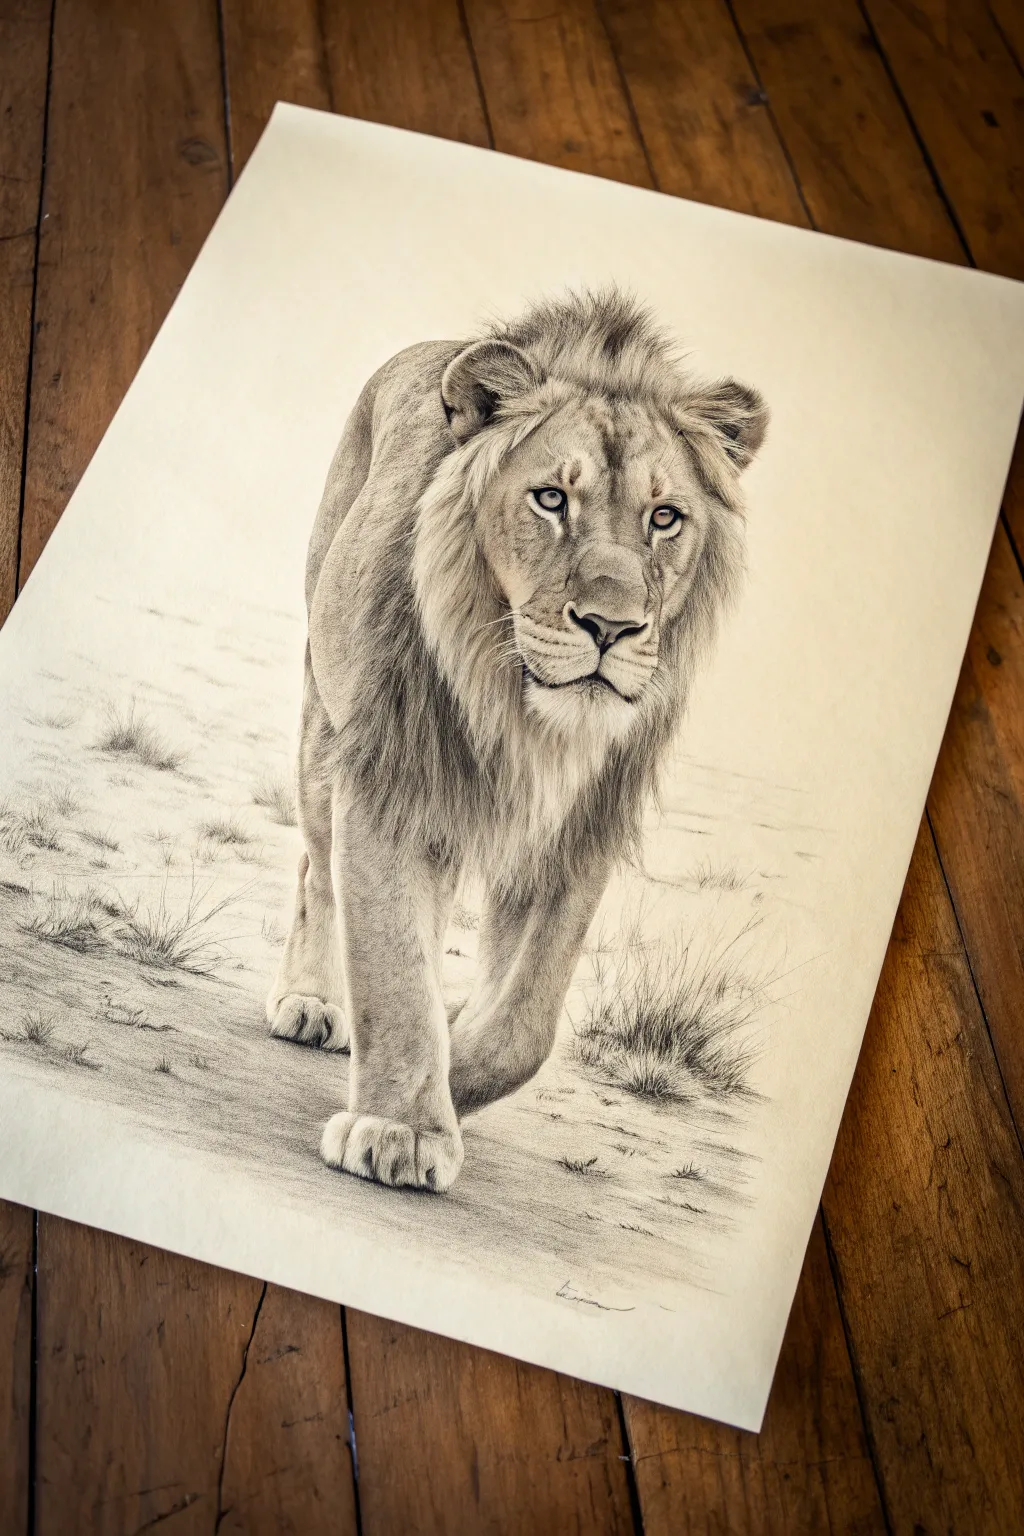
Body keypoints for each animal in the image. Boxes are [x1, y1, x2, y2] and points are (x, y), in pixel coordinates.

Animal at [266, 288, 768, 1192]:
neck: (528, 720)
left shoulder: (578, 829)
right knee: (315, 872)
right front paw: (401, 1128)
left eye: (664, 518)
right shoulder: (390, 781)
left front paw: (453, 1067)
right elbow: (394, 965)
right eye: (551, 500)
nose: (611, 626)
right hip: (324, 720)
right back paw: (314, 1003)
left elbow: (524, 1026)